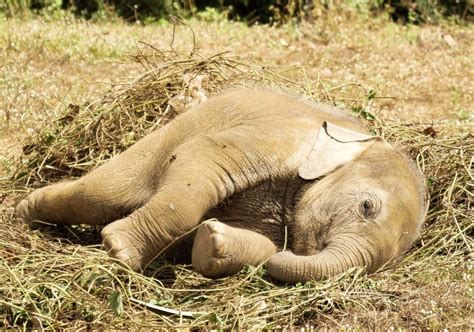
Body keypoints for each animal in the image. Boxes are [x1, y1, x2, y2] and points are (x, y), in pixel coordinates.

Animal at [16, 89, 428, 282]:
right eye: (367, 207)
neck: (362, 136)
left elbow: (263, 245)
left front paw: (212, 242)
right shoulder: (277, 136)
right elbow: (202, 156)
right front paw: (119, 249)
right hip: (161, 140)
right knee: (102, 193)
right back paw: (25, 212)